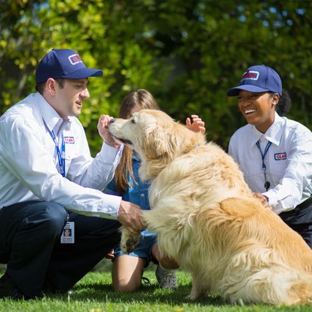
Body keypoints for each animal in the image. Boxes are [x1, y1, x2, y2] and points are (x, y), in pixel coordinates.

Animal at [108, 109, 312, 304]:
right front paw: (194, 296)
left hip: (247, 265)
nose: (110, 120)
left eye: (133, 120)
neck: (179, 154)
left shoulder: (175, 215)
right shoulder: (197, 243)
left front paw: (128, 236)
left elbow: (143, 214)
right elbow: (199, 273)